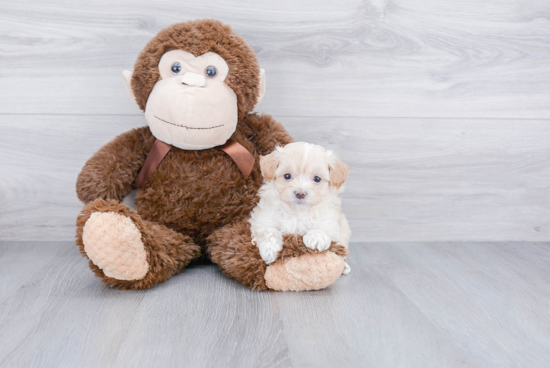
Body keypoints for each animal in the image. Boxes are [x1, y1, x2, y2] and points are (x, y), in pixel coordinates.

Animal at [251, 142, 354, 274]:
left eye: (317, 179)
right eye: (287, 176)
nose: (300, 193)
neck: (297, 212)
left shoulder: (330, 219)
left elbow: (324, 227)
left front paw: (316, 238)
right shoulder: (264, 217)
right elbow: (269, 230)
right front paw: (270, 249)